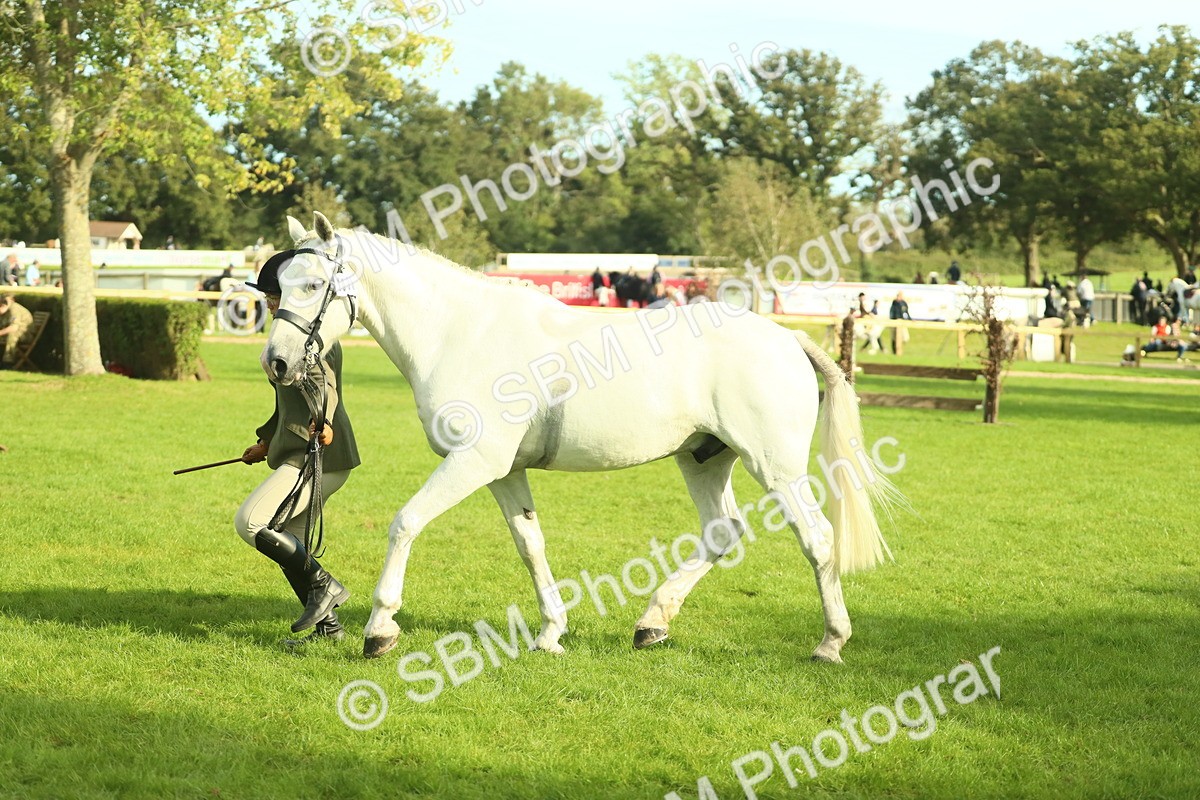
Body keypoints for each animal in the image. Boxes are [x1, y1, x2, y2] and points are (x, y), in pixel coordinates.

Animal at [263, 213, 898, 663]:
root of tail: (788, 338)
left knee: (817, 539)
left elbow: (406, 523)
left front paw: (380, 629)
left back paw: (829, 643)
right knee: (722, 533)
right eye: (280, 287)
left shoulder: (474, 462)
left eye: (314, 284)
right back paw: (652, 623)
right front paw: (551, 632)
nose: (277, 362)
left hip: (776, 466)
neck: (459, 333)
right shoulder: (504, 471)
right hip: (703, 459)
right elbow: (530, 544)